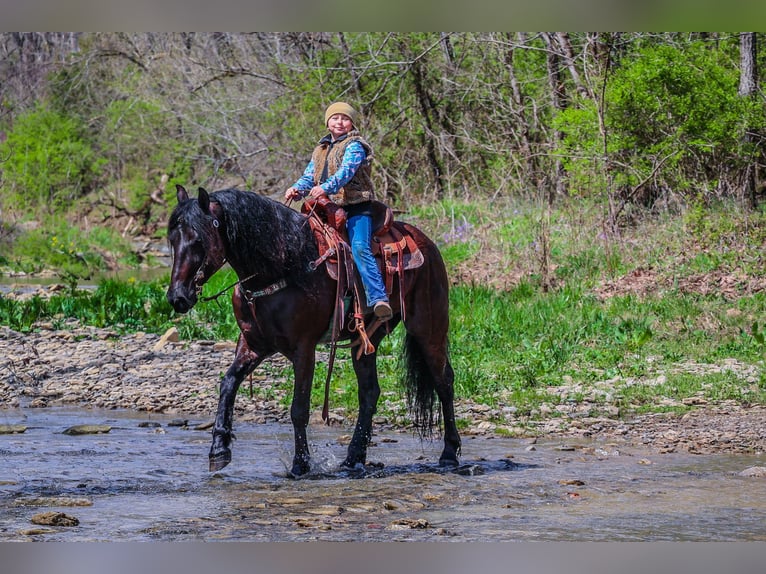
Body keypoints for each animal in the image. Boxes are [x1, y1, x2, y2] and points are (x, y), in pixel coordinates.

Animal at [165, 187, 460, 480]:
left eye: (198, 240)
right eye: (172, 239)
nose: (178, 297)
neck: (283, 265)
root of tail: (426, 243)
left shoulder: (303, 349)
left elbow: (299, 409)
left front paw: (301, 464)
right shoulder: (252, 344)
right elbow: (227, 384)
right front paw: (219, 450)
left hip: (428, 329)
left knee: (443, 381)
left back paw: (449, 453)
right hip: (366, 340)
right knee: (369, 392)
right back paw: (353, 459)